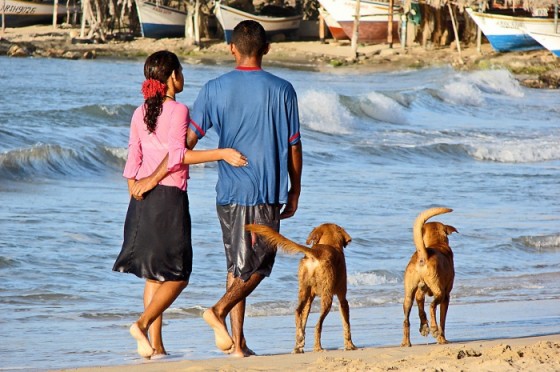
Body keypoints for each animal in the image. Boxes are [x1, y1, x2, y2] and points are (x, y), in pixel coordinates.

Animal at [244, 222, 356, 354]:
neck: (330, 243)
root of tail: (315, 252)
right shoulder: (342, 297)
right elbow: (346, 324)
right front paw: (350, 345)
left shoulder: (309, 299)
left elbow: (304, 319)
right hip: (327, 296)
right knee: (318, 325)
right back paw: (317, 347)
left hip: (303, 291)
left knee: (297, 312)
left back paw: (299, 342)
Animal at [402, 208, 460, 348]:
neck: (436, 242)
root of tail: (423, 256)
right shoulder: (447, 296)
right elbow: (442, 320)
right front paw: (442, 339)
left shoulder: (420, 292)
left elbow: (420, 306)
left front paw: (423, 326)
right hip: (440, 292)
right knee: (432, 306)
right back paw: (434, 328)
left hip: (408, 295)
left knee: (406, 319)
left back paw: (407, 342)